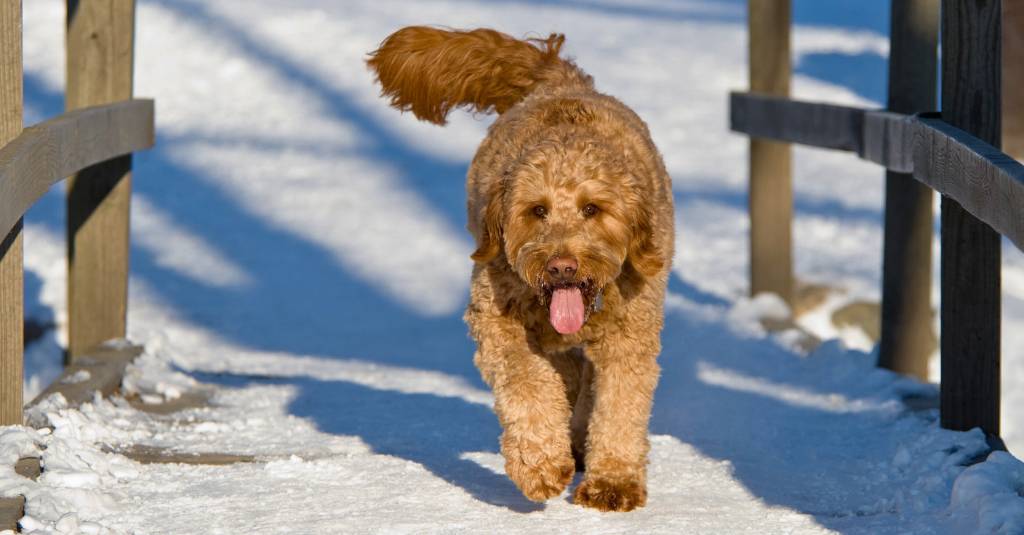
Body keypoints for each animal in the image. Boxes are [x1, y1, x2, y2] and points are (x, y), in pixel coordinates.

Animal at [366, 27, 671, 510]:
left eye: (592, 208)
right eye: (537, 210)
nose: (562, 266)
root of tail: (562, 80)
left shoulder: (631, 333)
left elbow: (621, 403)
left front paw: (613, 482)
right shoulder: (496, 318)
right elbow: (527, 383)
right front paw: (541, 466)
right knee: (565, 373)